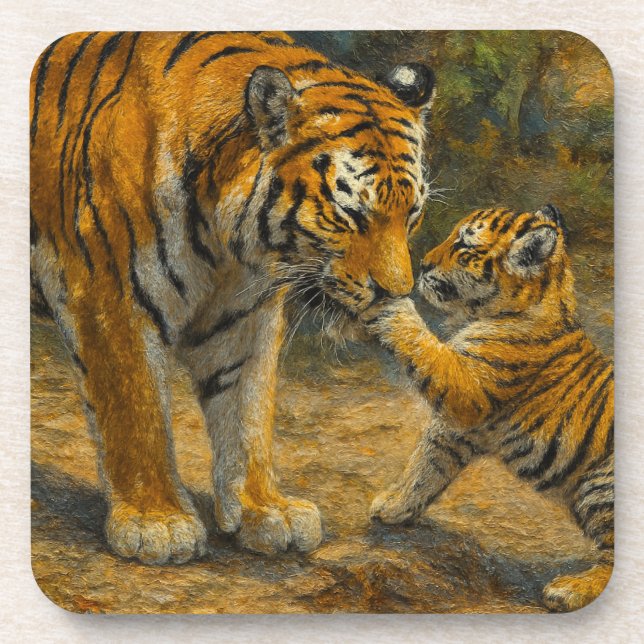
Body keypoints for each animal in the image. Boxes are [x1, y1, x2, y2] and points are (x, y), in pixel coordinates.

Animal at [30, 31, 436, 564]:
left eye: (412, 213)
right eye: (351, 214)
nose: (396, 291)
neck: (226, 244)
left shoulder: (243, 314)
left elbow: (246, 414)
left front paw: (264, 511)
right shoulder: (110, 296)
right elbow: (136, 412)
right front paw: (157, 522)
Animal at [361, 205, 614, 611]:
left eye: (464, 245)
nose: (423, 264)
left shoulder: (466, 391)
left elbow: (423, 346)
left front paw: (393, 308)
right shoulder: (455, 429)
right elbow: (426, 468)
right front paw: (395, 508)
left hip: (598, 482)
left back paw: (569, 590)